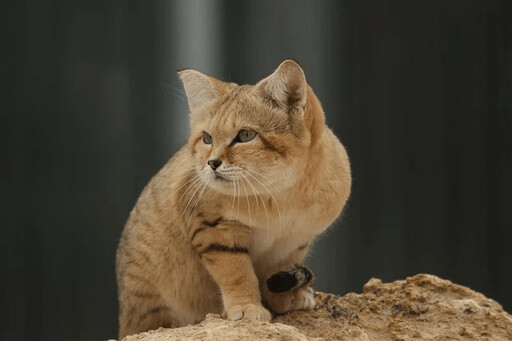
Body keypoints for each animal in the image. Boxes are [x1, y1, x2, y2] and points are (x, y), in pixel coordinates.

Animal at [115, 59, 352, 338]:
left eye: (246, 135)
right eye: (207, 138)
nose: (211, 163)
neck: (281, 196)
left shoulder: (296, 240)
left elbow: (279, 267)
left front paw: (285, 296)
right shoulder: (215, 229)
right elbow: (237, 273)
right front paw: (247, 307)